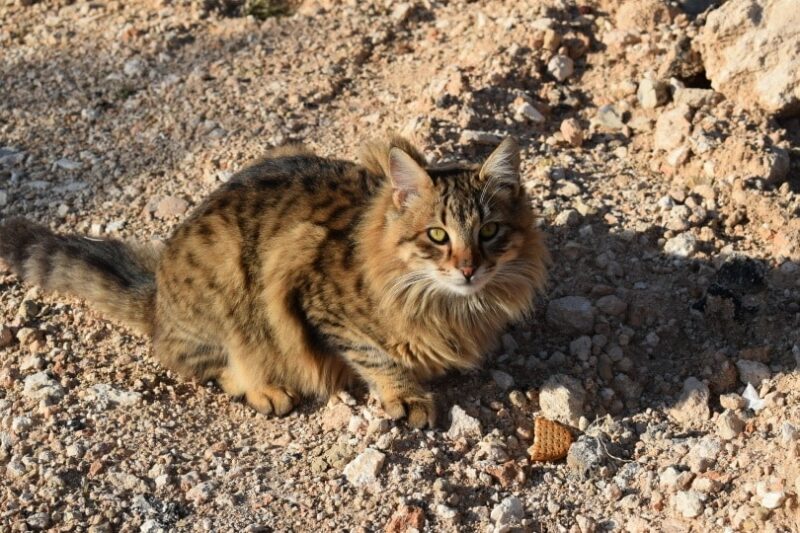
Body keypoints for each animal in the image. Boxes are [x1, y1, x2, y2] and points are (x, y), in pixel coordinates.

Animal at [0, 136, 552, 428]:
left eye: (489, 232)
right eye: (438, 235)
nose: (468, 268)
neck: (444, 302)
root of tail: (155, 295)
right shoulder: (315, 298)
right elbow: (375, 356)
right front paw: (406, 396)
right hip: (225, 290)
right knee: (210, 365)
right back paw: (265, 389)